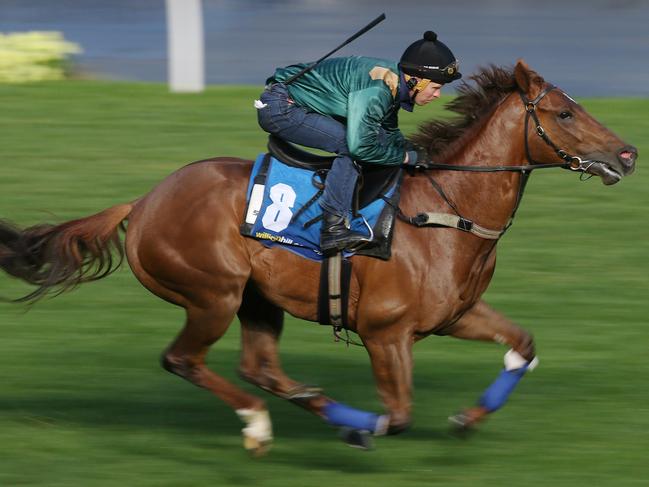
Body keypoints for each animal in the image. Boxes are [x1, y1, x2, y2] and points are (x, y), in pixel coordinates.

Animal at [0, 60, 636, 454]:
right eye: (565, 114)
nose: (628, 154)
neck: (445, 212)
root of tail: (144, 200)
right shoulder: (384, 332)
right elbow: (399, 415)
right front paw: (364, 430)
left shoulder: (456, 314)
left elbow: (522, 345)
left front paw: (465, 418)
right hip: (213, 293)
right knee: (183, 360)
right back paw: (264, 424)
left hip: (256, 300)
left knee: (258, 367)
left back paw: (308, 401)